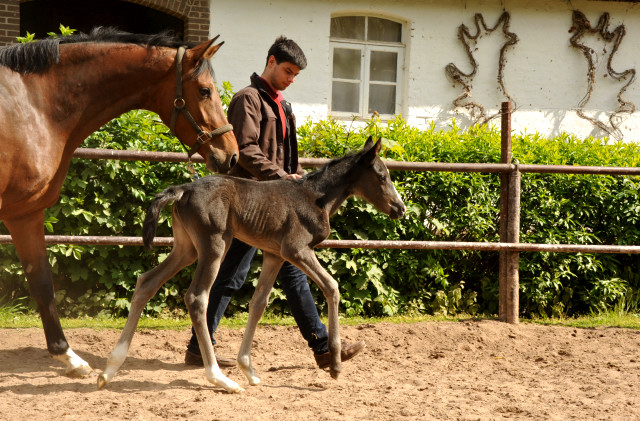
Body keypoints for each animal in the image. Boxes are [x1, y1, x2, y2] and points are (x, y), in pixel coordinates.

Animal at [0, 27, 239, 376]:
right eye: (205, 91)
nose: (231, 154)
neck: (34, 105)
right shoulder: (21, 212)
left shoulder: (24, 213)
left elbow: (42, 284)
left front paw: (67, 356)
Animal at [95, 139, 404, 392]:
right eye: (382, 176)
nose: (400, 208)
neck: (314, 197)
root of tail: (183, 189)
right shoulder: (296, 250)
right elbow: (332, 287)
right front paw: (336, 366)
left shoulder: (275, 255)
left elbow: (258, 303)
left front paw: (249, 369)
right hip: (214, 245)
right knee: (197, 298)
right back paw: (219, 378)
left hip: (186, 248)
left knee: (146, 281)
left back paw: (109, 369)